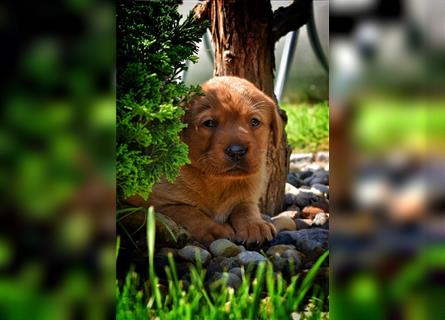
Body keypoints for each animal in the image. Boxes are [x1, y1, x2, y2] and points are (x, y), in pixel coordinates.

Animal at [142, 75, 280, 245]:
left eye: (255, 122)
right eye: (209, 123)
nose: (236, 151)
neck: (218, 181)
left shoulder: (248, 195)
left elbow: (246, 208)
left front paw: (254, 224)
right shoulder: (154, 201)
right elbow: (187, 211)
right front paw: (213, 228)